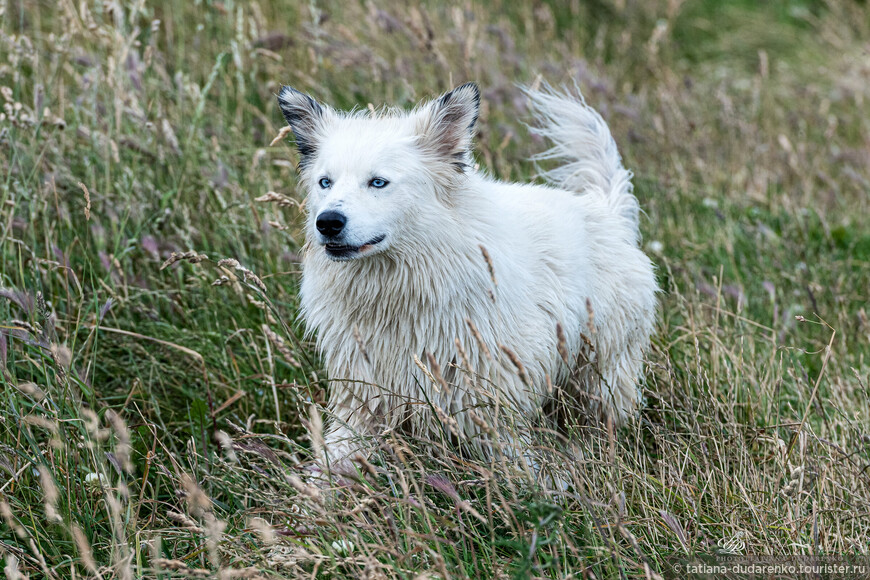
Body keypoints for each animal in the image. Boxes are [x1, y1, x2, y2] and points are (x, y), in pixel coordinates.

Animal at [276, 82, 656, 472]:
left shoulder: (493, 395)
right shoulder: (363, 394)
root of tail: (605, 211)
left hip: (599, 376)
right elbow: (336, 457)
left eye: (378, 182)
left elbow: (512, 458)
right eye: (325, 182)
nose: (328, 222)